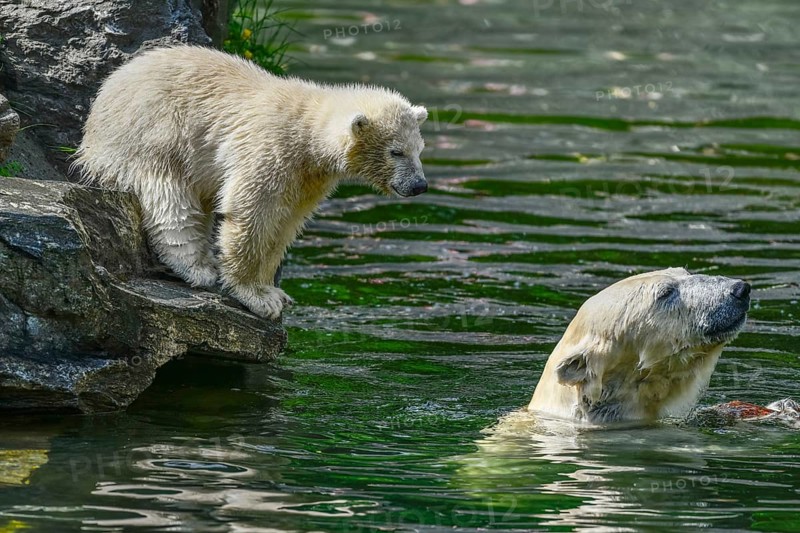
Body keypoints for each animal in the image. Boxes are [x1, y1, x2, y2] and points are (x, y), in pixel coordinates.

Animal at [75, 46, 428, 319]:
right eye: (396, 151)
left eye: (419, 149)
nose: (419, 186)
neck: (306, 132)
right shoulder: (269, 149)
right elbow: (251, 213)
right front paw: (255, 297)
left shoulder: (306, 179)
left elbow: (285, 224)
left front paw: (275, 292)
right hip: (154, 133)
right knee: (169, 197)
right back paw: (197, 266)